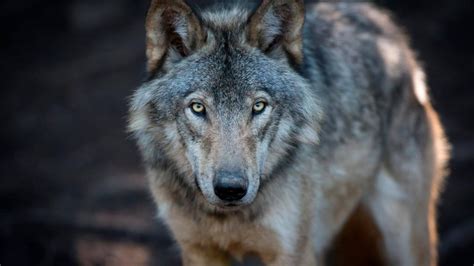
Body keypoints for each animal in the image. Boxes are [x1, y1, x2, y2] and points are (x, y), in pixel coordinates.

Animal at [128, 0, 450, 264]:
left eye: (259, 106)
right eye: (197, 107)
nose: (230, 189)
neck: (227, 217)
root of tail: (382, 23)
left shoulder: (292, 252)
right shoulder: (199, 250)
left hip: (405, 236)